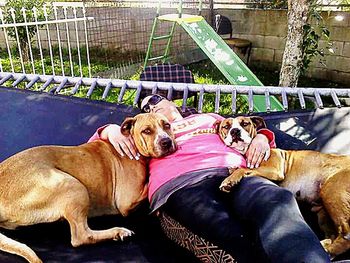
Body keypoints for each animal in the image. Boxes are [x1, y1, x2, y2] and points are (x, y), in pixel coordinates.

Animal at [0, 113, 176, 263]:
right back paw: (118, 232)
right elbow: (149, 188)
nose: (166, 142)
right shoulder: (127, 201)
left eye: (167, 125)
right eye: (147, 131)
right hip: (72, 186)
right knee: (81, 237)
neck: (132, 142)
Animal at [217, 116, 350, 258]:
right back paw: (326, 246)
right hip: (323, 212)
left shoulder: (274, 170)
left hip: (332, 191)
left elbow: (244, 169)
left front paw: (230, 179)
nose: (235, 131)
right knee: (333, 234)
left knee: (346, 234)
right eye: (226, 126)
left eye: (245, 124)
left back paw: (329, 249)